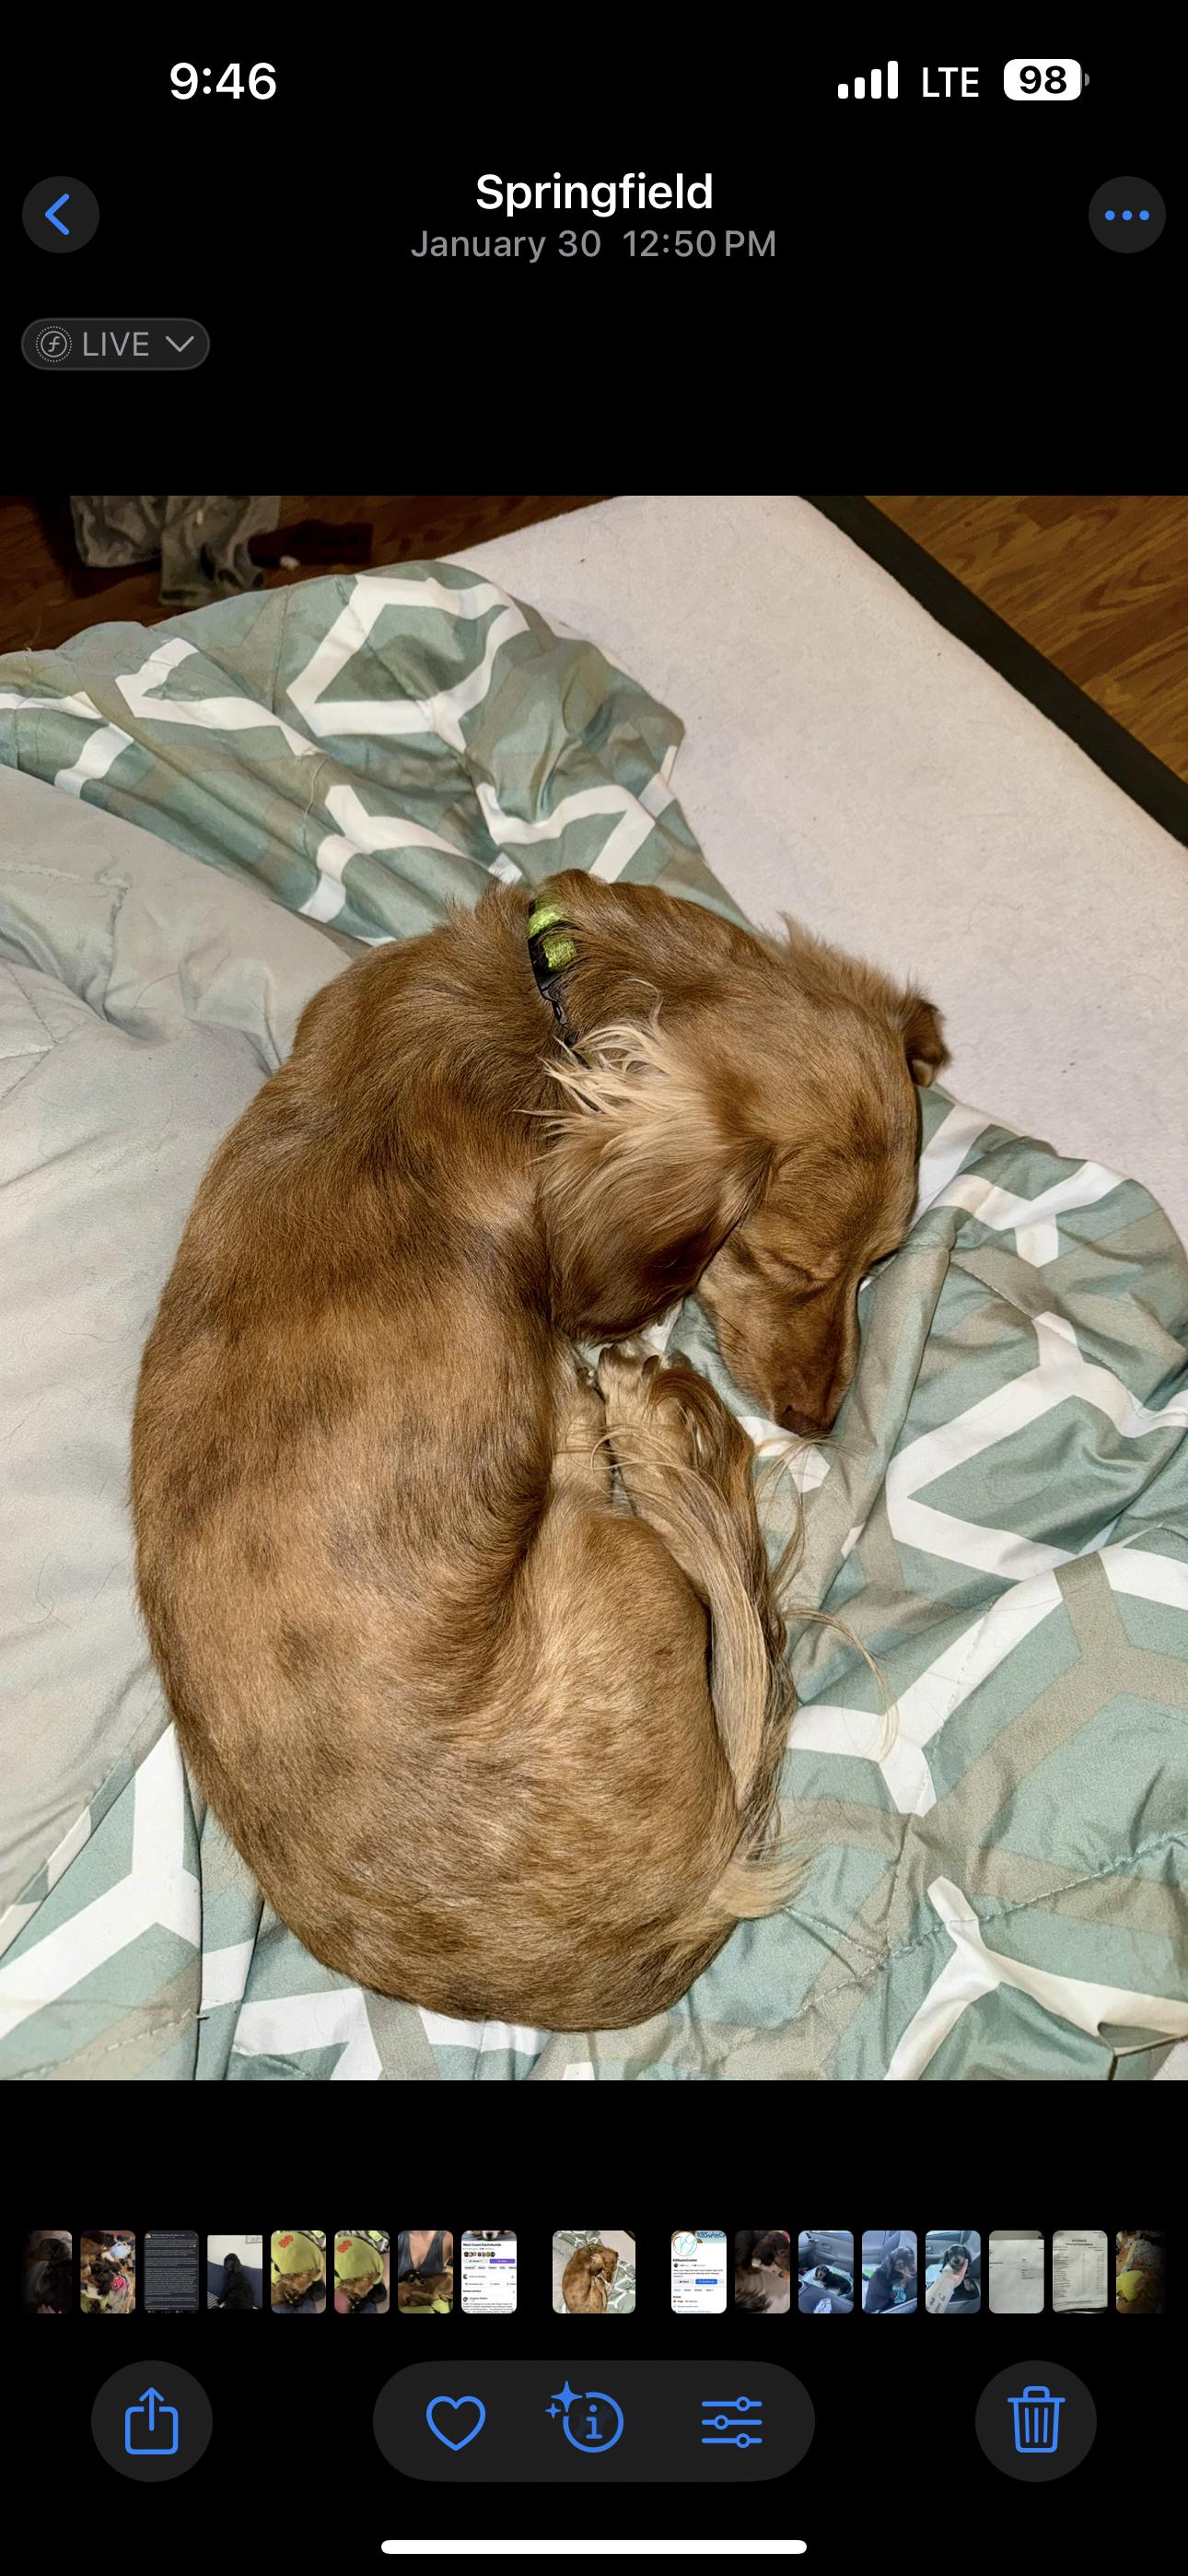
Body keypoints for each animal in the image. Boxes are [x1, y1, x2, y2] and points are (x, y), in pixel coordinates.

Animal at [132, 871, 946, 2028]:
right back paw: (621, 1413)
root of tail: (688, 1901)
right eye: (793, 1266)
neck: (541, 1001)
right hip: (618, 1560)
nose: (820, 1422)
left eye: (880, 1263)